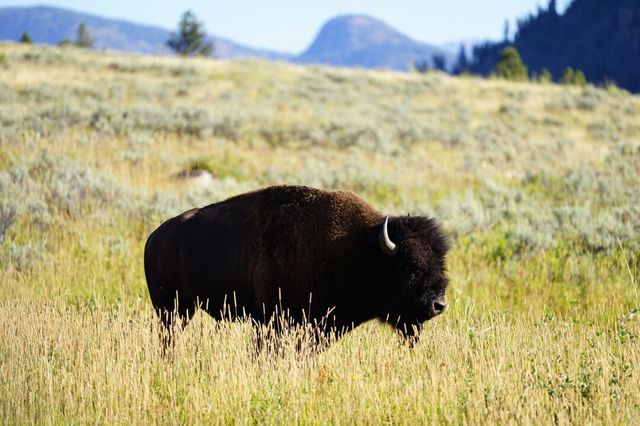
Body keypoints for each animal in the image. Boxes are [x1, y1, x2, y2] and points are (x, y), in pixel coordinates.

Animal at [144, 186, 450, 346]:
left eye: (441, 263)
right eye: (412, 266)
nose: (439, 305)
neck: (358, 249)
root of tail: (155, 237)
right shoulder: (275, 321)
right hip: (171, 309)